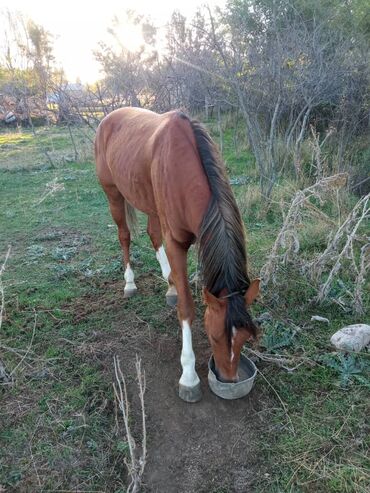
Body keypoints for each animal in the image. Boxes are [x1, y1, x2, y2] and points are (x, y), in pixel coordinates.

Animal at [94, 106, 258, 400]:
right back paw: (129, 282)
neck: (183, 168)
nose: (228, 379)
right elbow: (187, 308)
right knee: (124, 236)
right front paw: (189, 377)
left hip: (149, 201)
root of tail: (107, 119)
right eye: (214, 336)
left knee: (152, 233)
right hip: (113, 195)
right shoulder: (176, 244)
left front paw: (173, 287)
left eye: (245, 338)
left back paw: (169, 286)